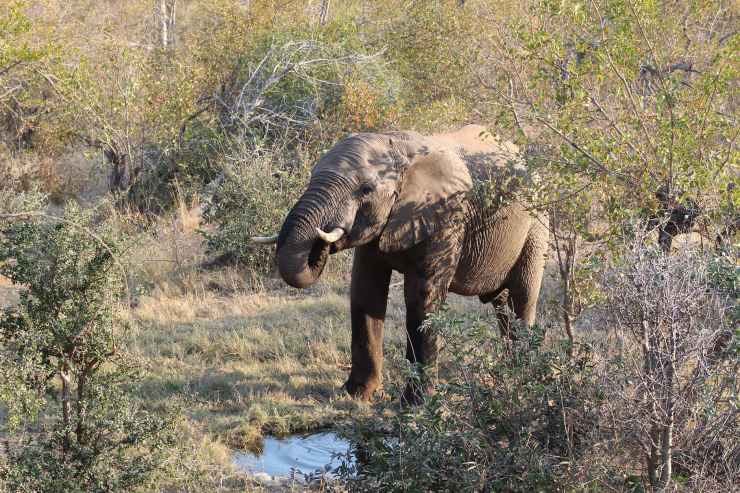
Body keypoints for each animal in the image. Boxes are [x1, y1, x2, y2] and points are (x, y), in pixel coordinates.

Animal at [255, 124, 549, 403]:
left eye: (365, 190)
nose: (321, 243)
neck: (397, 148)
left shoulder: (444, 217)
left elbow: (421, 301)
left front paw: (416, 406)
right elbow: (366, 293)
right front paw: (357, 395)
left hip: (537, 225)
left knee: (523, 297)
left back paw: (523, 374)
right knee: (502, 304)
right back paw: (508, 370)